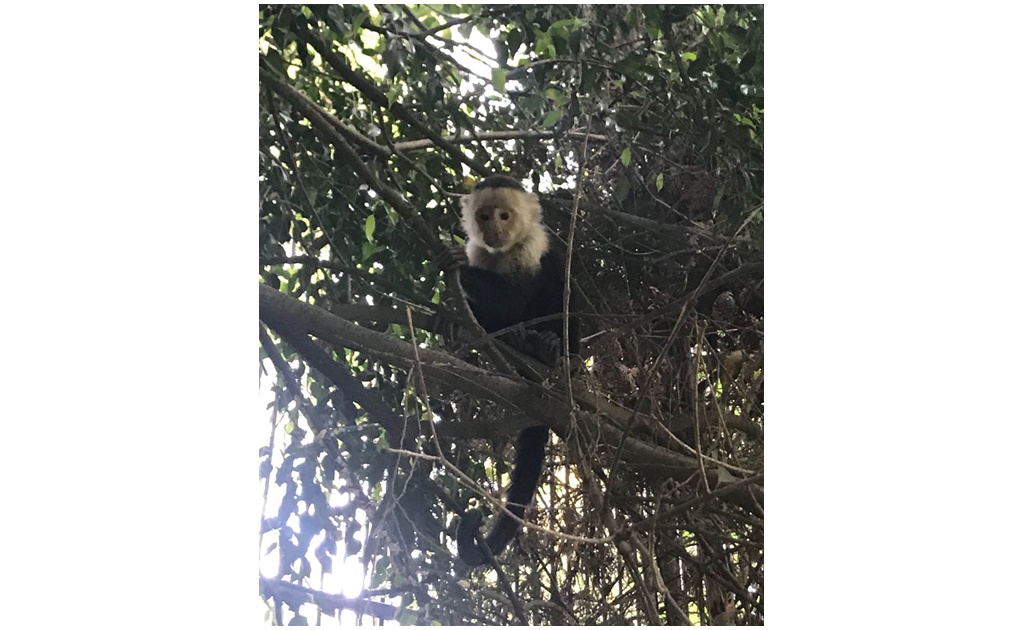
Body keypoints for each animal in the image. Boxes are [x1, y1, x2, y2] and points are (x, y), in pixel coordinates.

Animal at [443, 171, 581, 564]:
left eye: (505, 216)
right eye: (484, 216)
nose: (495, 230)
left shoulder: (531, 244)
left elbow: (515, 297)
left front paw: (457, 264)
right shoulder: (481, 249)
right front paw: (451, 315)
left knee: (555, 288)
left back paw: (546, 347)